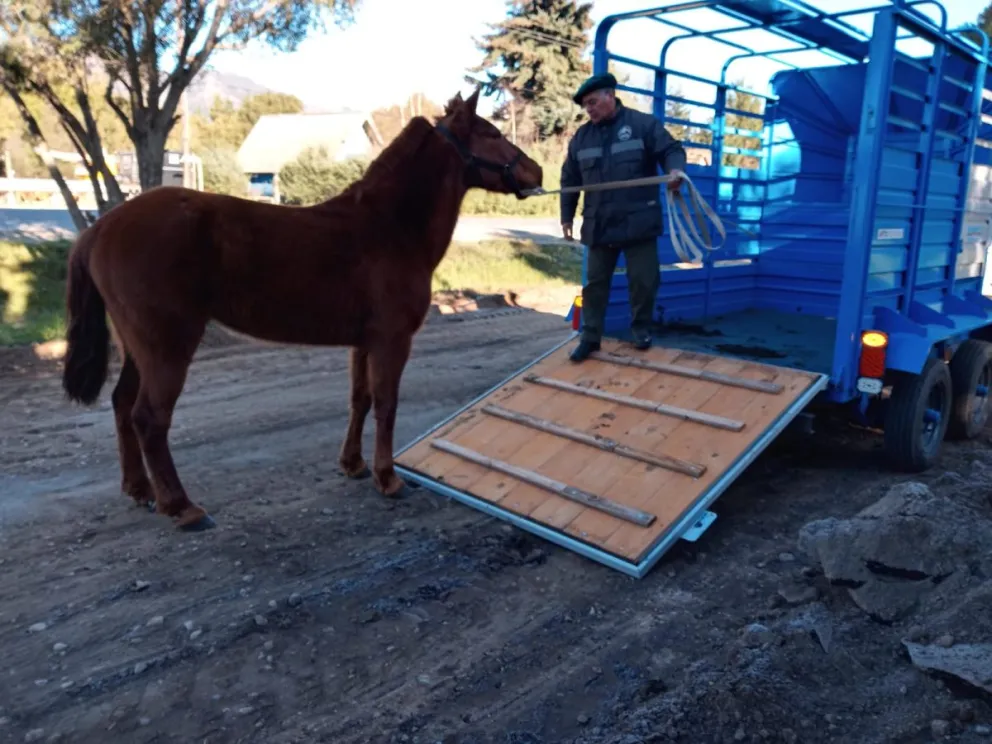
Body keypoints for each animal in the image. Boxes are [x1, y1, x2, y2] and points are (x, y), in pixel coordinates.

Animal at [59, 88, 544, 532]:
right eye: (492, 134)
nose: (536, 170)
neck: (389, 226)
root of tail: (101, 227)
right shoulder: (392, 340)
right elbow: (386, 403)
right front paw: (387, 478)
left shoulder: (364, 342)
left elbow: (360, 399)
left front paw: (353, 465)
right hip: (167, 348)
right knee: (149, 418)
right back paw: (182, 507)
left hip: (138, 347)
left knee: (122, 405)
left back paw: (139, 489)